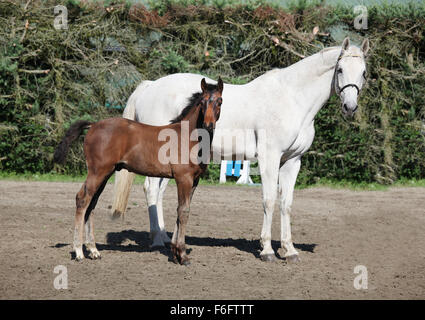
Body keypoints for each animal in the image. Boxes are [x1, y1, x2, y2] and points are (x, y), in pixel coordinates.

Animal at [53, 78, 222, 264]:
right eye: (202, 102)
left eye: (220, 101)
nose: (208, 125)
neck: (188, 137)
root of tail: (94, 125)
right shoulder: (183, 178)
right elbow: (183, 211)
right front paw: (182, 255)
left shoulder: (194, 180)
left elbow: (182, 210)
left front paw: (176, 251)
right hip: (97, 172)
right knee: (82, 199)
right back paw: (79, 251)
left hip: (104, 174)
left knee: (92, 203)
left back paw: (93, 250)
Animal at [112, 37, 368, 262]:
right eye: (340, 69)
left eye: (364, 72)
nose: (350, 107)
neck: (292, 98)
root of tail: (149, 87)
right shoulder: (269, 157)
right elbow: (269, 200)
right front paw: (267, 251)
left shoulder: (293, 160)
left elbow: (286, 204)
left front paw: (290, 250)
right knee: (150, 190)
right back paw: (157, 240)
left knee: (159, 193)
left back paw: (166, 238)